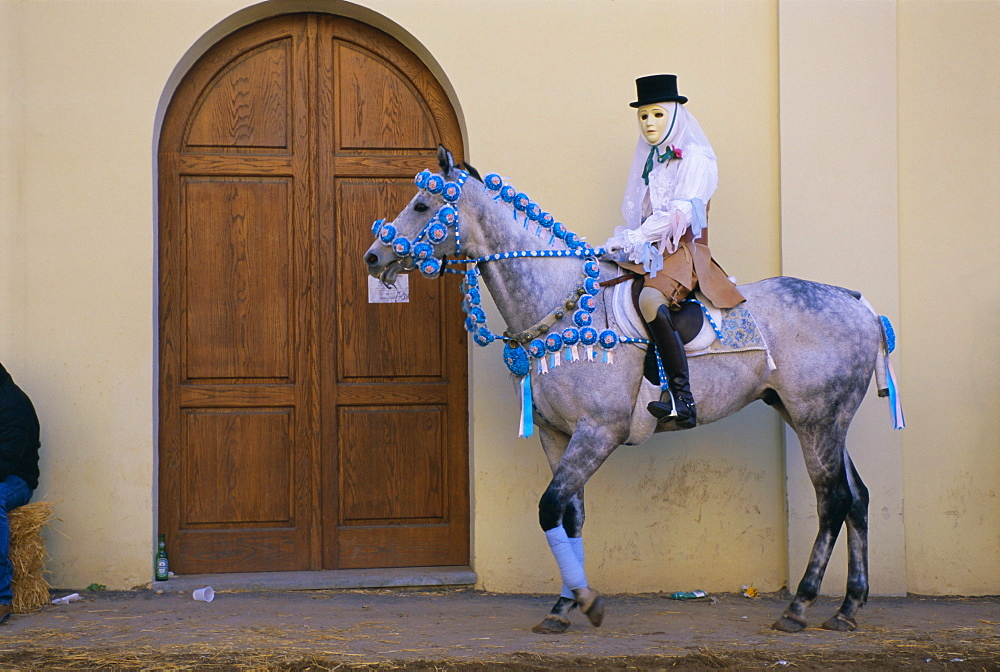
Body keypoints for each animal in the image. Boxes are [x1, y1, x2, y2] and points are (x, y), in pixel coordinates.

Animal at [364, 146, 904, 636]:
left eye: (422, 205)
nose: (373, 256)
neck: (562, 305)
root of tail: (858, 303)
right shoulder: (558, 435)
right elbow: (570, 515)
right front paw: (564, 605)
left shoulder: (598, 432)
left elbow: (549, 507)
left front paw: (584, 600)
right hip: (816, 417)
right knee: (857, 498)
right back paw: (848, 607)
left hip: (817, 419)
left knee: (833, 500)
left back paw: (800, 605)